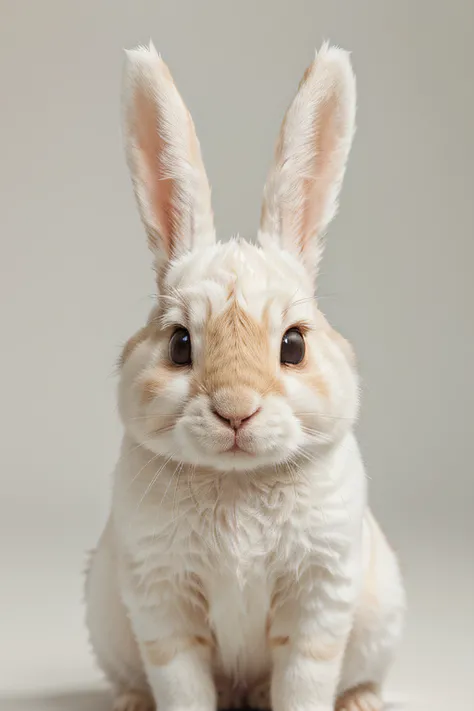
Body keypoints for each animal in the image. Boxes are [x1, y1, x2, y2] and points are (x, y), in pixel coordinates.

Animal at [84, 40, 404, 711]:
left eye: (293, 345)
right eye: (179, 344)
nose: (235, 411)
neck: (236, 482)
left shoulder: (318, 604)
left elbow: (304, 681)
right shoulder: (162, 607)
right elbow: (181, 684)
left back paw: (361, 700)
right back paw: (128, 703)